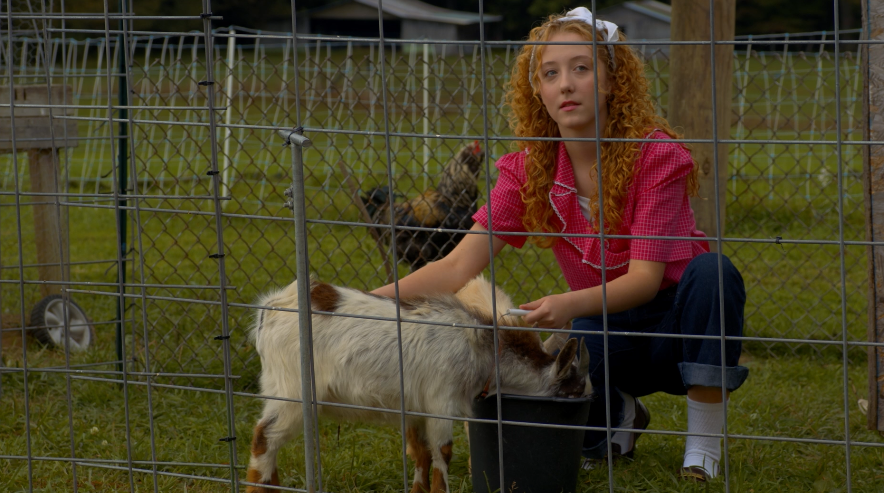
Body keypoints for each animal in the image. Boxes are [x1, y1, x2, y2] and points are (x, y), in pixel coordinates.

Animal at [245, 276, 590, 493]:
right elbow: (442, 453)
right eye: (574, 392)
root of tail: (269, 309)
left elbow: (421, 454)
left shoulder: (414, 406)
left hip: (276, 385)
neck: (482, 349)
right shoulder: (441, 400)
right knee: (264, 437)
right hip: (292, 390)